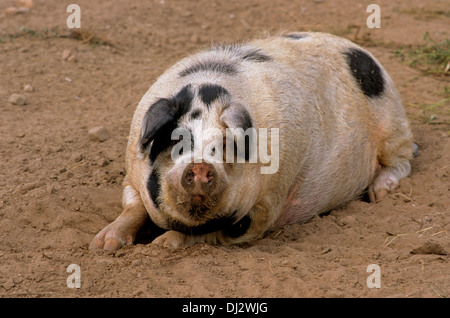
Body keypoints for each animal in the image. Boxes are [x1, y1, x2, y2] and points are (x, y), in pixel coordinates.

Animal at [90, 32, 414, 251]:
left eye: (224, 146)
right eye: (177, 142)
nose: (200, 166)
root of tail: (360, 50)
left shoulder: (265, 207)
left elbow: (210, 234)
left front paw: (163, 244)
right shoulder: (131, 174)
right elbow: (132, 207)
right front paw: (103, 244)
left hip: (393, 125)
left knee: (403, 160)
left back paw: (378, 194)